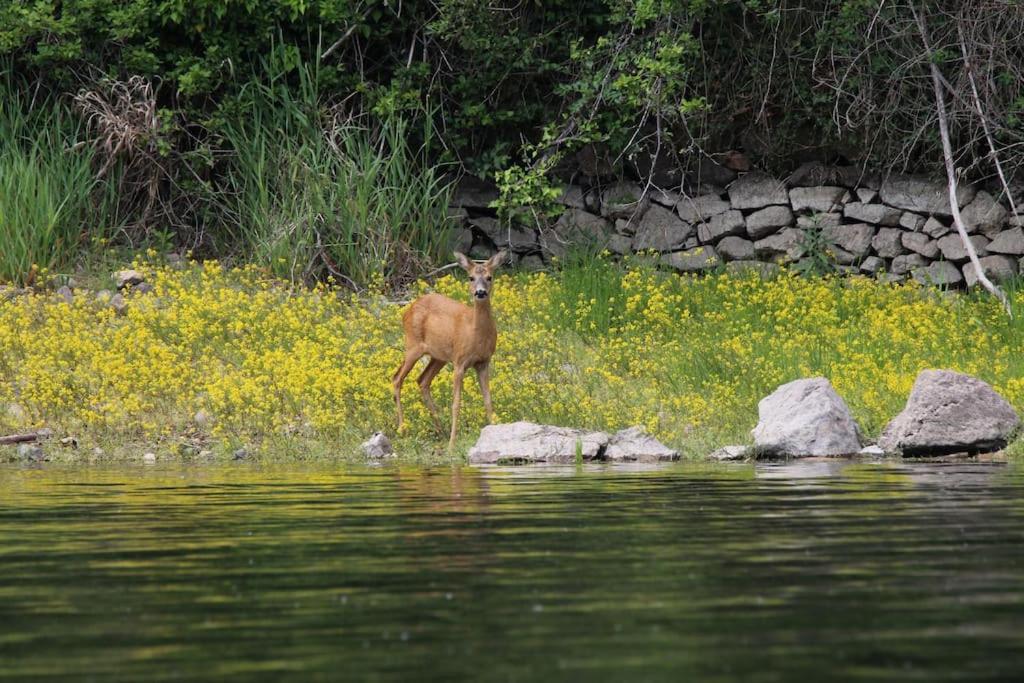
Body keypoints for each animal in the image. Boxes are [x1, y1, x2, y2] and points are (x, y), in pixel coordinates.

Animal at [389, 248, 505, 450]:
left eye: (489, 277)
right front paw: (452, 444)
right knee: (397, 378)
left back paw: (440, 430)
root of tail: (407, 310)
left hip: (438, 356)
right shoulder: (460, 361)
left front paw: (494, 432)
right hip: (412, 345)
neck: (475, 334)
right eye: (471, 277)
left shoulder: (484, 362)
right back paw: (403, 429)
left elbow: (488, 400)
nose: (480, 292)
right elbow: (456, 404)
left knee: (422, 380)